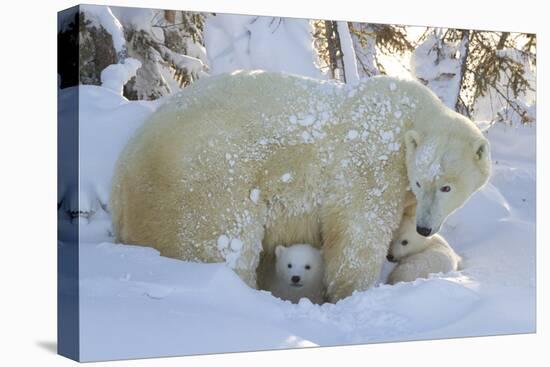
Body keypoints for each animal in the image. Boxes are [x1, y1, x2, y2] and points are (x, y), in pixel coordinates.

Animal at [111, 69, 492, 302]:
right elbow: (357, 236)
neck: (407, 117)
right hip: (202, 185)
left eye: (446, 188)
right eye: (421, 180)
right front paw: (351, 293)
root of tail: (123, 168)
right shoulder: (371, 166)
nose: (426, 227)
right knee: (223, 243)